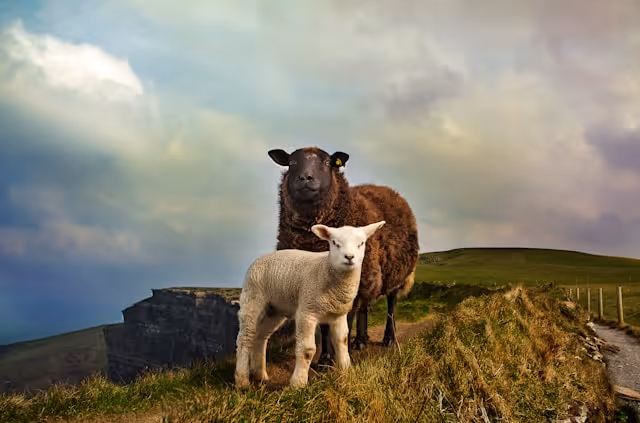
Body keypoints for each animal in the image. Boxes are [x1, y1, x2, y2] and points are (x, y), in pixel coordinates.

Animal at [234, 220, 386, 389]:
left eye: (361, 243)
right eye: (335, 243)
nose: (349, 257)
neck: (326, 269)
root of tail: (260, 258)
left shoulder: (338, 314)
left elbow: (342, 342)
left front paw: (345, 374)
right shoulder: (307, 311)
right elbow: (307, 350)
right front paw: (298, 383)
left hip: (274, 310)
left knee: (261, 337)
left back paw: (260, 375)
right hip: (252, 299)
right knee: (245, 338)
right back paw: (242, 380)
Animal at [267, 146, 420, 368]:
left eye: (327, 163)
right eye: (291, 163)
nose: (305, 178)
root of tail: (389, 190)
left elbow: (343, 323)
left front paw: (338, 360)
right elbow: (325, 326)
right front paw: (324, 360)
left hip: (395, 274)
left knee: (391, 305)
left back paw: (388, 339)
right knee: (365, 306)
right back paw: (361, 341)